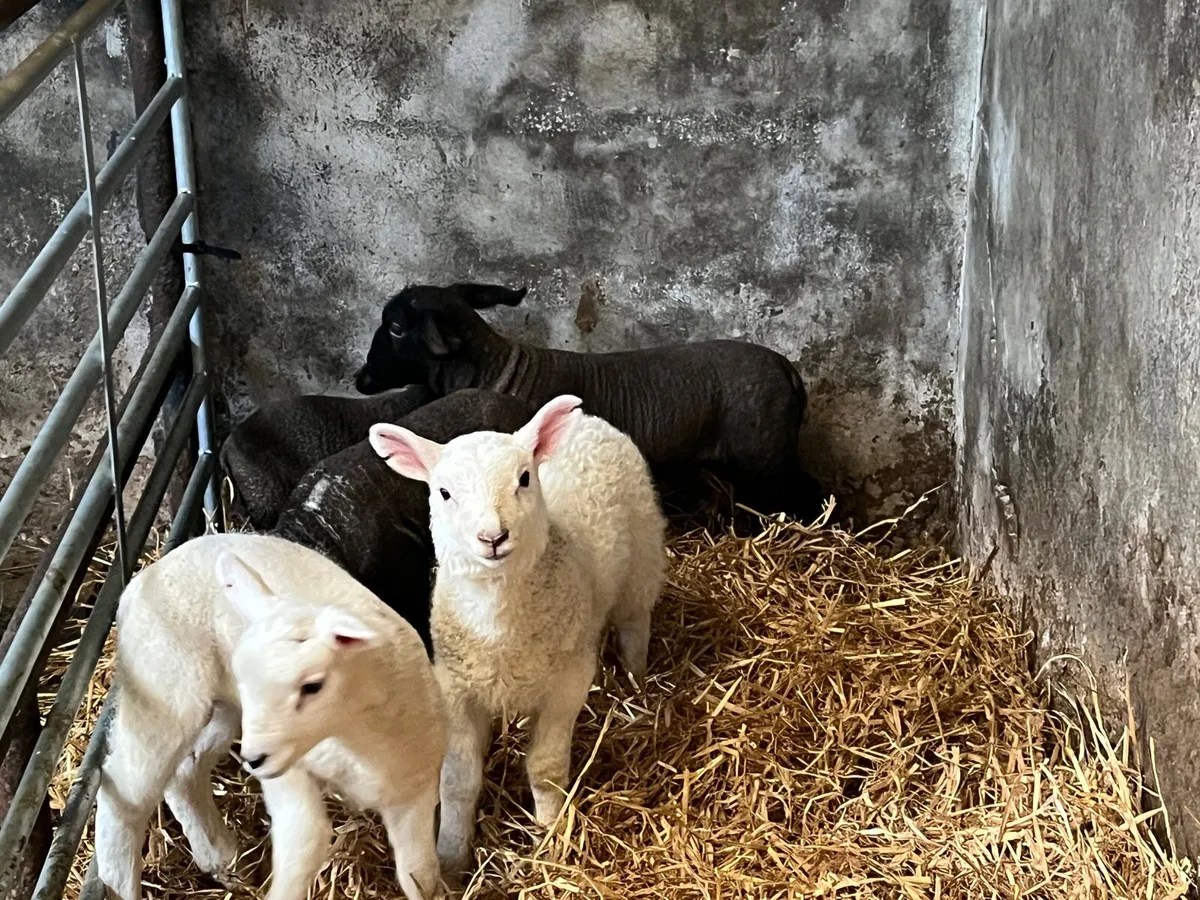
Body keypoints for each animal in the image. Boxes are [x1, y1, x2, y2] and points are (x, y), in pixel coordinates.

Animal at [95, 533, 446, 900]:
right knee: (125, 796)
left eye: (312, 685)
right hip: (161, 691)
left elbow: (418, 871)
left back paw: (222, 858)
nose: (254, 759)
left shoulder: (414, 792)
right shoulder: (289, 770)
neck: (354, 741)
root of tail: (148, 574)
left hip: (226, 710)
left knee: (186, 770)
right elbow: (307, 838)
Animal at [369, 394, 666, 883]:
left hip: (641, 560)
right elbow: (457, 781)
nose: (493, 536)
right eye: (444, 492)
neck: (499, 624)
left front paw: (550, 837)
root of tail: (587, 421)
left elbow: (545, 768)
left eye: (524, 478)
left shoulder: (568, 681)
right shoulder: (455, 687)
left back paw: (637, 685)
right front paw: (451, 858)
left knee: (634, 627)